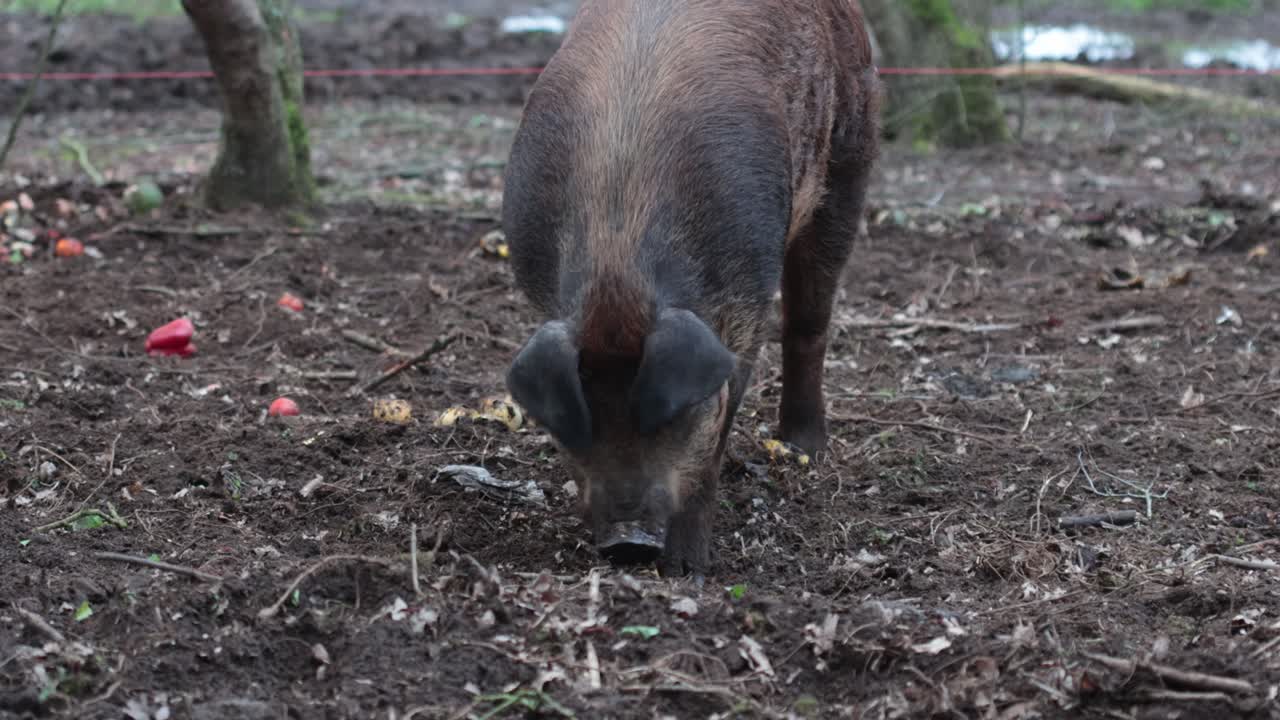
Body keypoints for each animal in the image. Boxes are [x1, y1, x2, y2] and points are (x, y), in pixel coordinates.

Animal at [502, 0, 880, 577]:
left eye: (677, 414)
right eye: (583, 413)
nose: (628, 542)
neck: (618, 261)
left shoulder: (744, 301)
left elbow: (717, 433)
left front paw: (686, 570)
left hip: (850, 155)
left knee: (809, 322)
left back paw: (803, 450)